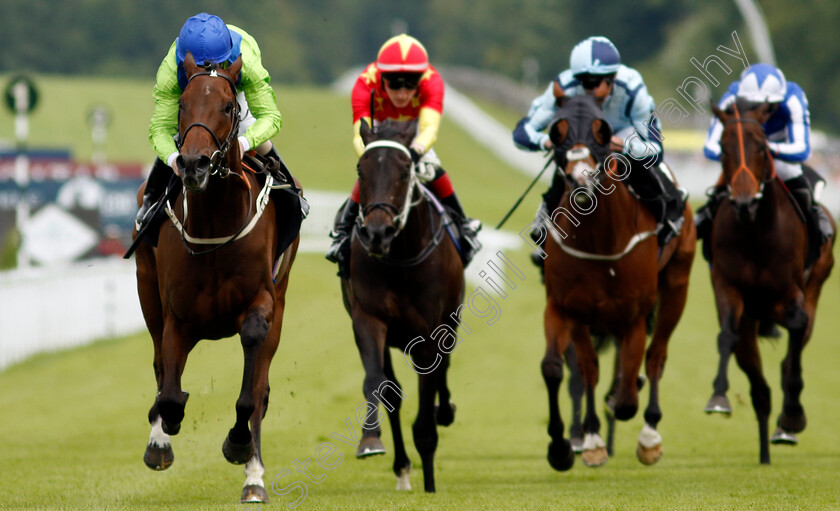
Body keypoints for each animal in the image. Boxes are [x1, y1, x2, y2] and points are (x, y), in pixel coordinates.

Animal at [131, 53, 302, 504]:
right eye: (182, 105)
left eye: (228, 106)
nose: (193, 164)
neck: (214, 226)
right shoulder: (176, 317)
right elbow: (170, 392)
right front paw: (162, 435)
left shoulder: (262, 302)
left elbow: (250, 393)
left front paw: (239, 445)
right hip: (147, 291)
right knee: (160, 368)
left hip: (280, 304)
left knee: (259, 388)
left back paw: (254, 477)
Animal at [342, 119, 466, 492]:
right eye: (361, 169)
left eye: (405, 170)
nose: (376, 233)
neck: (399, 259)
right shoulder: (368, 319)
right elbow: (377, 384)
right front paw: (370, 441)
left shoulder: (429, 335)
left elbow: (428, 399)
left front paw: (430, 481)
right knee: (393, 391)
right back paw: (403, 469)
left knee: (443, 370)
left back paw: (445, 411)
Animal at [540, 93, 696, 472]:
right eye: (557, 130)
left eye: (602, 130)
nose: (580, 180)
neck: (599, 239)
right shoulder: (565, 308)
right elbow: (563, 369)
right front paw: (569, 447)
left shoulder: (633, 316)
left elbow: (626, 399)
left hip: (676, 285)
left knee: (656, 356)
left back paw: (650, 436)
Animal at [704, 100, 832, 464]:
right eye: (723, 147)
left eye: (762, 146)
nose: (744, 201)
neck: (756, 233)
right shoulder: (728, 287)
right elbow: (727, 334)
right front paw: (718, 397)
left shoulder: (791, 292)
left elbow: (795, 334)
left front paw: (793, 415)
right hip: (751, 323)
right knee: (758, 386)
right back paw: (764, 450)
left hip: (816, 284)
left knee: (792, 354)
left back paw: (785, 425)